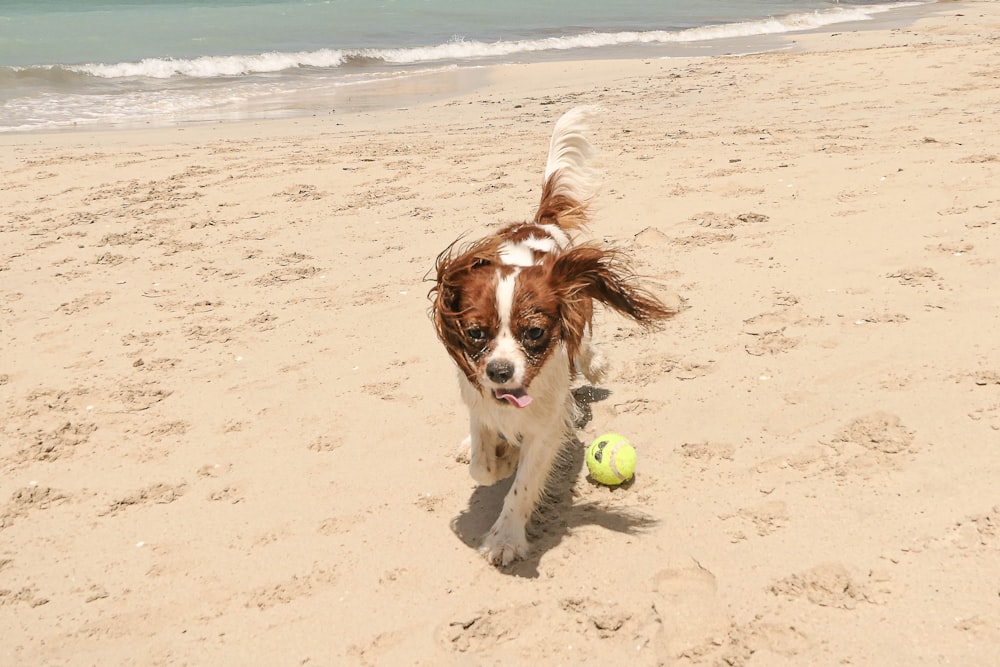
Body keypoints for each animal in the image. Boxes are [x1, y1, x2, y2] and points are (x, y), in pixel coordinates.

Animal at [430, 107, 672, 568]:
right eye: (475, 334)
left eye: (535, 333)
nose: (499, 371)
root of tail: (538, 224)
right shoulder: (479, 400)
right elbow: (481, 465)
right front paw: (498, 458)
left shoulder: (544, 427)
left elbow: (522, 484)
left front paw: (505, 537)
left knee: (584, 348)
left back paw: (594, 365)